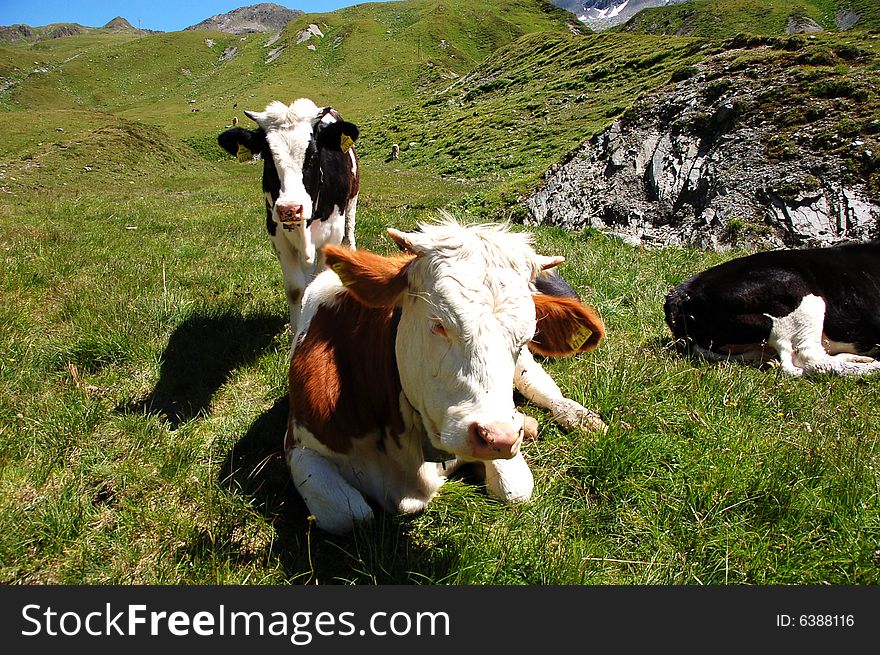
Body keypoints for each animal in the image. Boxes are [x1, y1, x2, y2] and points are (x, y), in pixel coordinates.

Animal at [218, 98, 360, 330]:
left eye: (313, 155)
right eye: (267, 158)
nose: (290, 209)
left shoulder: (332, 233)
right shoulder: (277, 234)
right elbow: (295, 288)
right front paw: (296, 329)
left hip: (352, 203)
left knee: (350, 231)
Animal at [286, 218, 600, 536]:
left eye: (526, 336)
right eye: (438, 324)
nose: (500, 438)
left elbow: (515, 489)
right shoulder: (299, 448)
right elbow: (351, 514)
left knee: (543, 388)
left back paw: (579, 417)